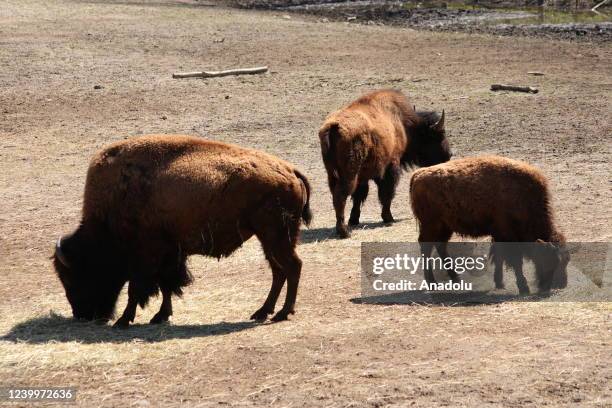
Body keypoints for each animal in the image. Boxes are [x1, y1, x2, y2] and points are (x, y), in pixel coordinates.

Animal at [53, 135, 314, 326]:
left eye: (73, 275)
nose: (82, 314)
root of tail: (290, 170)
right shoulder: (169, 254)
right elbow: (167, 285)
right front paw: (160, 316)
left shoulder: (144, 256)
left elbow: (137, 289)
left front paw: (124, 321)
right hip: (268, 238)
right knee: (279, 271)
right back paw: (262, 312)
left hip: (276, 237)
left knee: (292, 267)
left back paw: (282, 313)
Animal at [318, 87, 452, 237]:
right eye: (438, 136)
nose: (449, 155)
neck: (403, 123)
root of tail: (333, 126)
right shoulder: (390, 167)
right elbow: (387, 192)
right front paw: (389, 218)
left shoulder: (363, 176)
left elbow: (359, 196)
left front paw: (354, 220)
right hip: (349, 175)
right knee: (341, 196)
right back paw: (344, 232)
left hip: (332, 174)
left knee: (336, 196)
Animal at [408, 155, 572, 294]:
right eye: (550, 259)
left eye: (567, 260)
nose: (560, 285)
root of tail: (417, 175)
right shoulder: (507, 235)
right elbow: (515, 261)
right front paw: (523, 287)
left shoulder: (499, 234)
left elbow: (499, 257)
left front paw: (500, 283)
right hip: (432, 225)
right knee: (426, 247)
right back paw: (432, 283)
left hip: (445, 227)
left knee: (440, 246)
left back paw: (456, 279)